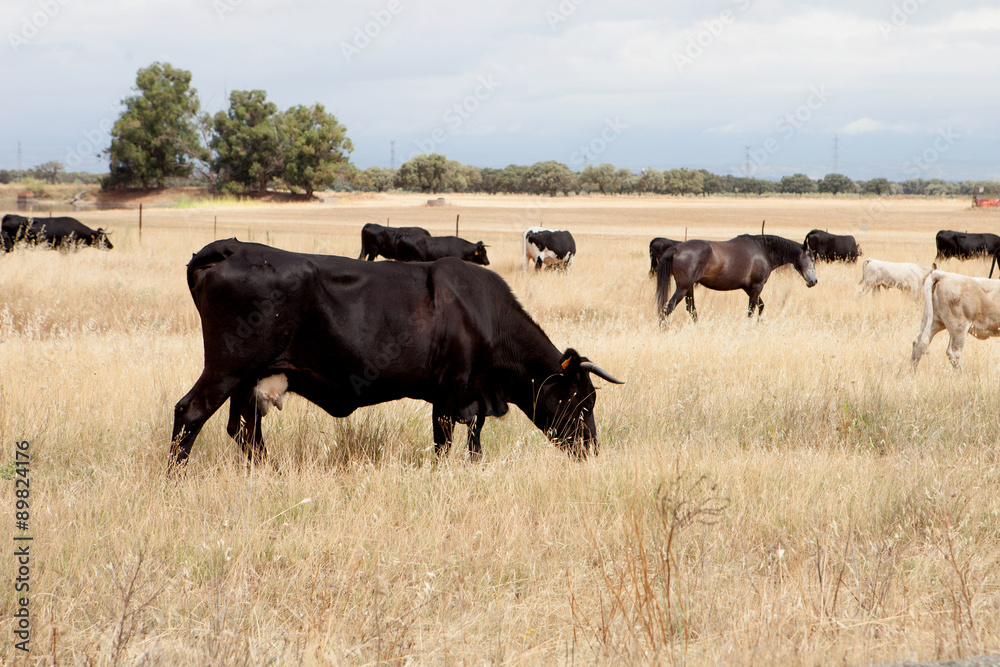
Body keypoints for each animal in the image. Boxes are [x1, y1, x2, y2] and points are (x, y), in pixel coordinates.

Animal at [169, 239, 620, 470]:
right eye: (579, 400)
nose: (592, 450)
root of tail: (231, 249)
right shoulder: (450, 392)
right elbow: (444, 441)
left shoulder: (474, 394)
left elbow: (474, 442)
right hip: (226, 368)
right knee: (190, 413)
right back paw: (176, 478)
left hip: (248, 378)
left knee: (244, 430)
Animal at [656, 235, 820, 324]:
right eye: (811, 258)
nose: (814, 281)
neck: (763, 251)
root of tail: (676, 249)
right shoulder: (756, 287)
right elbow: (751, 310)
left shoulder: (748, 288)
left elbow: (761, 306)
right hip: (683, 288)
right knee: (668, 309)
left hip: (689, 288)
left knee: (691, 309)